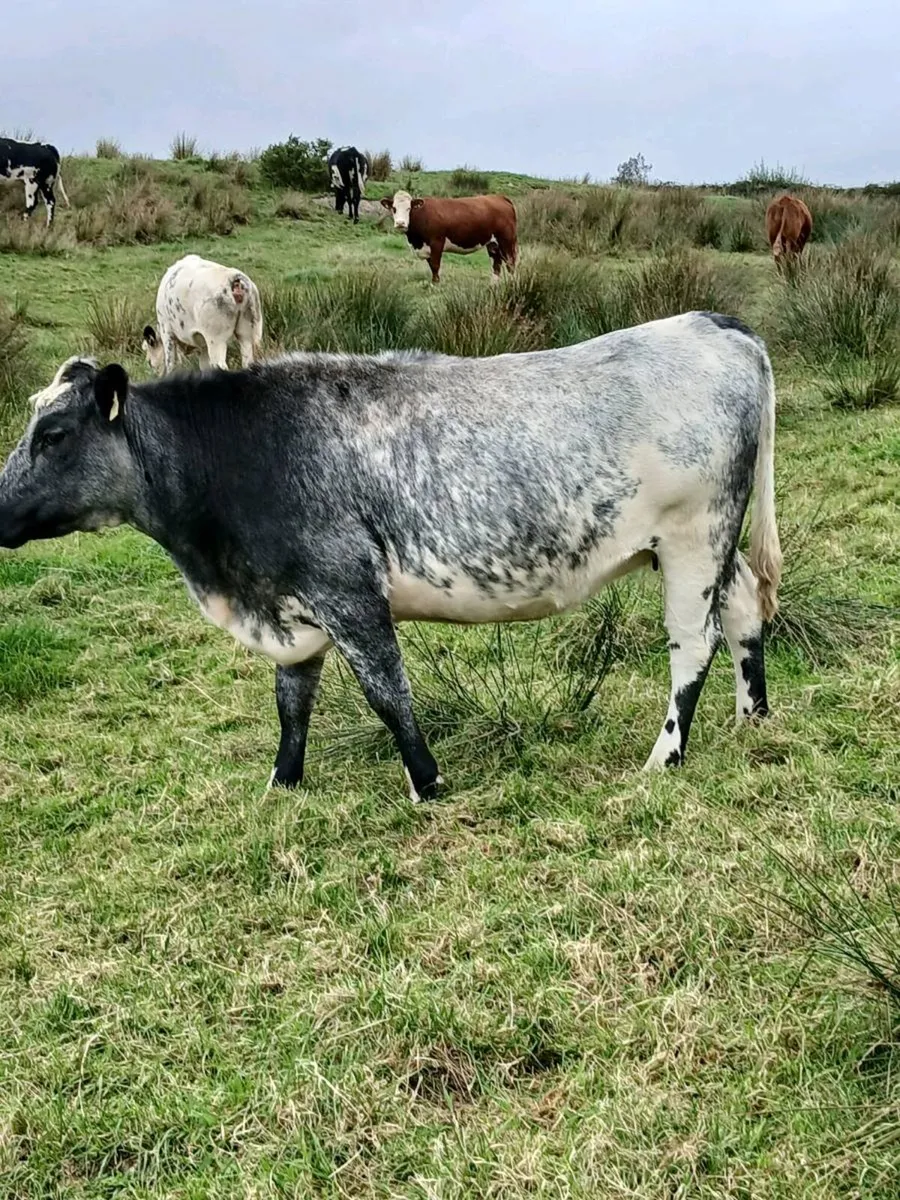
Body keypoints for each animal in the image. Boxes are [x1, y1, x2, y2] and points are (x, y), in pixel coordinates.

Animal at [0, 312, 781, 801]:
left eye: (55, 434)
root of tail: (715, 324)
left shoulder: (346, 588)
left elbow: (387, 693)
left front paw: (427, 782)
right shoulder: (294, 602)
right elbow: (292, 700)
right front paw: (282, 784)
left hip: (694, 537)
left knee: (693, 643)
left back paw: (665, 757)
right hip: (713, 547)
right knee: (746, 610)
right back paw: (753, 718)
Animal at [380, 191, 518, 283]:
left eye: (409, 208)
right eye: (394, 208)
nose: (400, 223)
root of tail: (500, 197)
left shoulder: (436, 243)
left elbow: (435, 264)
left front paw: (435, 284)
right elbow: (431, 266)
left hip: (506, 240)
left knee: (510, 263)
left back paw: (511, 285)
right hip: (493, 244)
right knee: (496, 264)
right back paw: (493, 286)